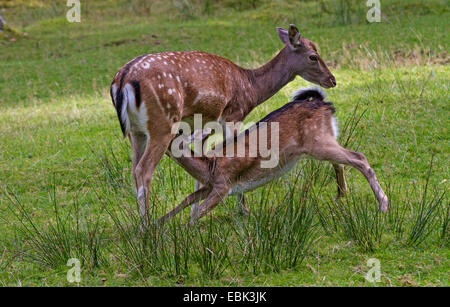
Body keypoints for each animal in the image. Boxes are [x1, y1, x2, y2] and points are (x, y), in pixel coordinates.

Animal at [110, 24, 338, 226]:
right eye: (313, 56)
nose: (332, 80)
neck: (251, 88)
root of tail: (122, 81)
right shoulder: (233, 114)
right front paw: (243, 209)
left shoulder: (205, 126)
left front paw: (198, 207)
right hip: (162, 124)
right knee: (144, 170)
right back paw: (146, 226)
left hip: (136, 132)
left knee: (134, 169)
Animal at [160, 88, 388, 225]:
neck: (209, 167)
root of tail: (324, 104)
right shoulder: (210, 185)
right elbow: (187, 200)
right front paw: (157, 224)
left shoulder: (223, 185)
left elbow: (198, 211)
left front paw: (186, 232)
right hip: (325, 140)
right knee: (341, 162)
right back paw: (341, 195)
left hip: (318, 142)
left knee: (359, 157)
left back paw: (383, 205)